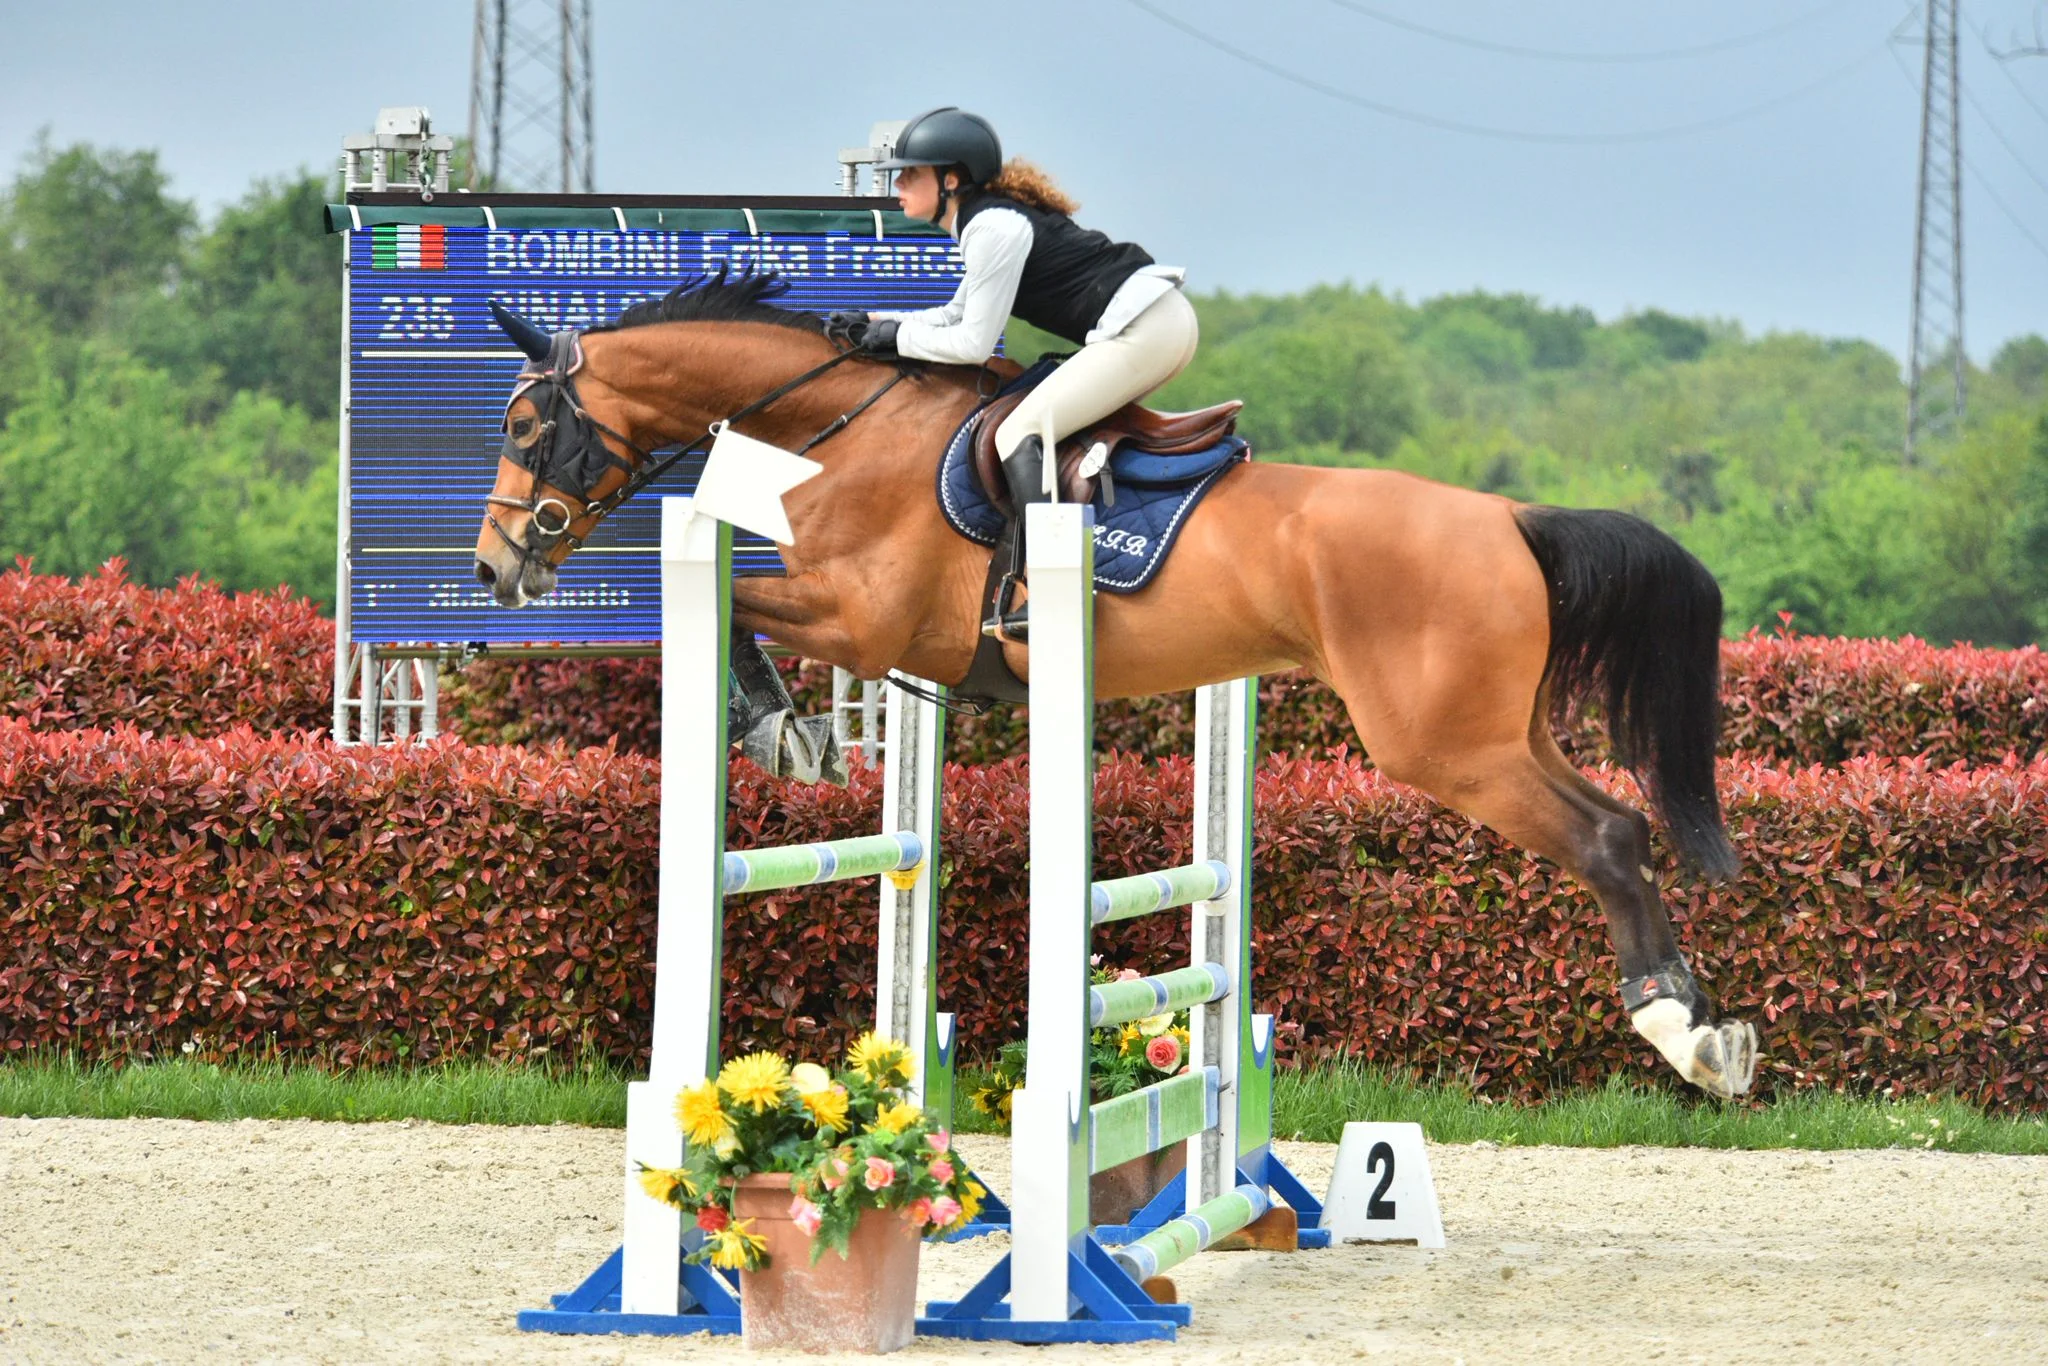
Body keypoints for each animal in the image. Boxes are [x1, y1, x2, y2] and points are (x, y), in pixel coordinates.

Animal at [471, 272, 1759, 1100]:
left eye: (528, 423)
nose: (495, 568)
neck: (844, 423)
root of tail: (1509, 516)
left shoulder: (864, 618)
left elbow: (735, 605)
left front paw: (781, 728)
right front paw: (790, 730)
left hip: (1445, 747)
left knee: (1600, 839)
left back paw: (1676, 1029)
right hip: (1498, 730)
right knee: (1622, 823)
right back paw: (1703, 1026)